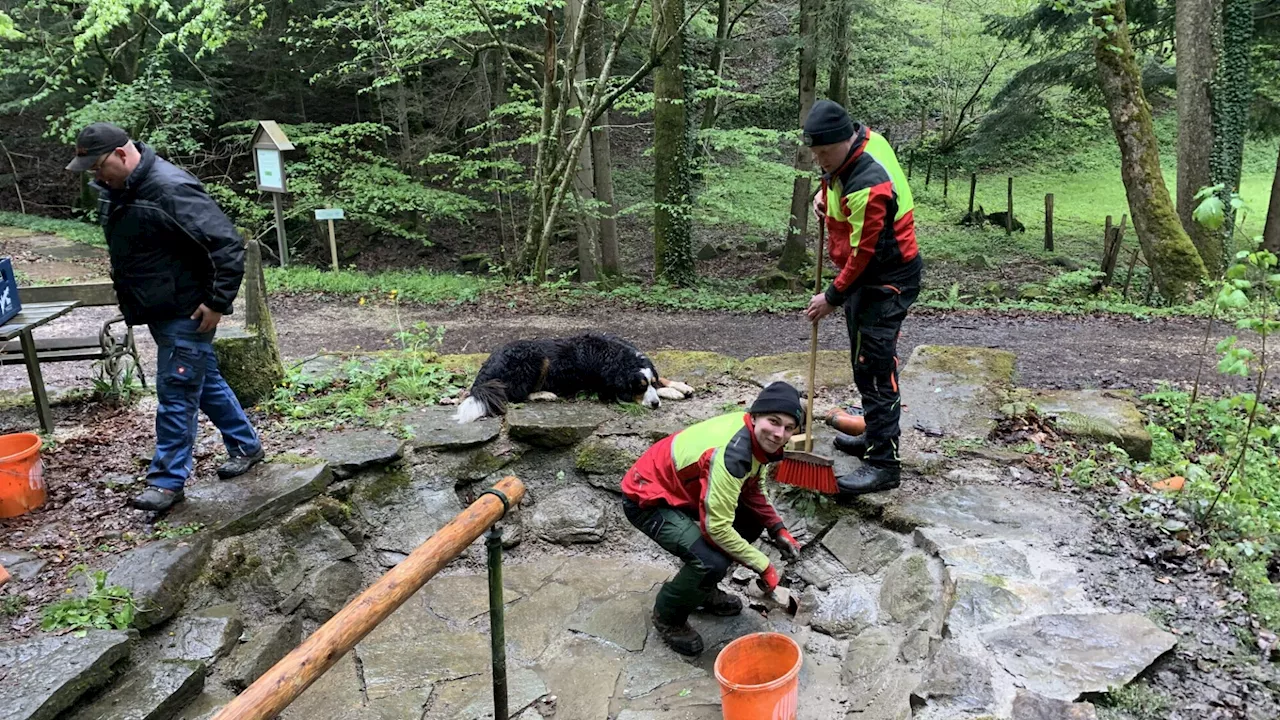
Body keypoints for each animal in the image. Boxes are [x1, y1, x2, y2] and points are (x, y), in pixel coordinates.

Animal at [453, 330, 691, 420]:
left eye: (648, 383)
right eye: (639, 387)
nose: (655, 404)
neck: (617, 355)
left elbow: (662, 379)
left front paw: (680, 386)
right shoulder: (608, 389)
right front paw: (670, 392)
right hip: (534, 358)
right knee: (515, 394)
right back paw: (545, 394)